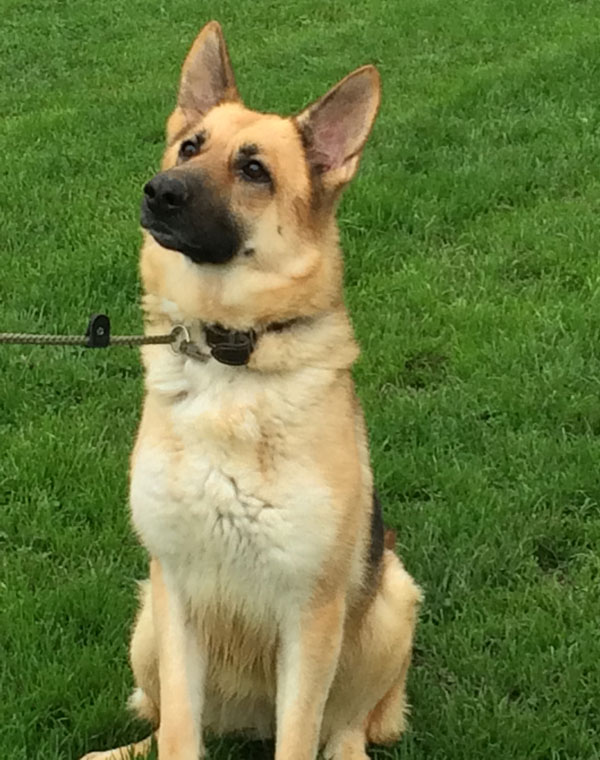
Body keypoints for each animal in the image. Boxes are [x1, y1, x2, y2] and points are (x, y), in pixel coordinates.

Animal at [81, 20, 422, 760]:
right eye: (191, 146)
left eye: (255, 170)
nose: (159, 191)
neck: (228, 357)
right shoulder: (175, 592)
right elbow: (180, 731)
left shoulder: (310, 615)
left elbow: (300, 735)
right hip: (146, 622)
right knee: (160, 719)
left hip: (390, 604)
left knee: (346, 727)